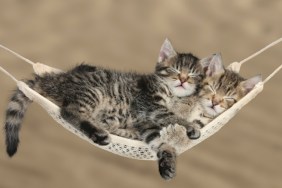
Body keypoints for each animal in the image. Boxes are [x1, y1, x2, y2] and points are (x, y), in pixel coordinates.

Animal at [3, 39, 207, 180]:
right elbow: (171, 116)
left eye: (193, 75)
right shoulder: (151, 105)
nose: (183, 79)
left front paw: (168, 162)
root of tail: (58, 79)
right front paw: (191, 127)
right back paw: (98, 133)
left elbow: (161, 142)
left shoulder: (147, 125)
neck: (173, 96)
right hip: (94, 92)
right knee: (69, 111)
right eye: (175, 69)